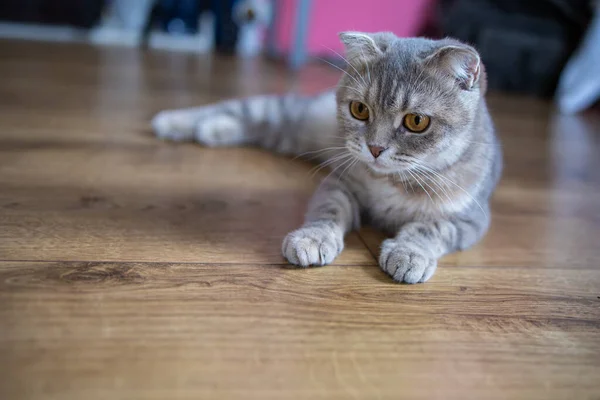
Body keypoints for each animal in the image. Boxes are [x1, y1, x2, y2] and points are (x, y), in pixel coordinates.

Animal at [151, 32, 502, 284]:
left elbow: (429, 229)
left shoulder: (470, 219)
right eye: (359, 109)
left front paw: (409, 253)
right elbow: (328, 210)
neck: (388, 182)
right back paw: (172, 121)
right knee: (242, 107)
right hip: (293, 115)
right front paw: (313, 238)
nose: (375, 148)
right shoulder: (339, 184)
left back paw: (213, 129)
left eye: (416, 121)